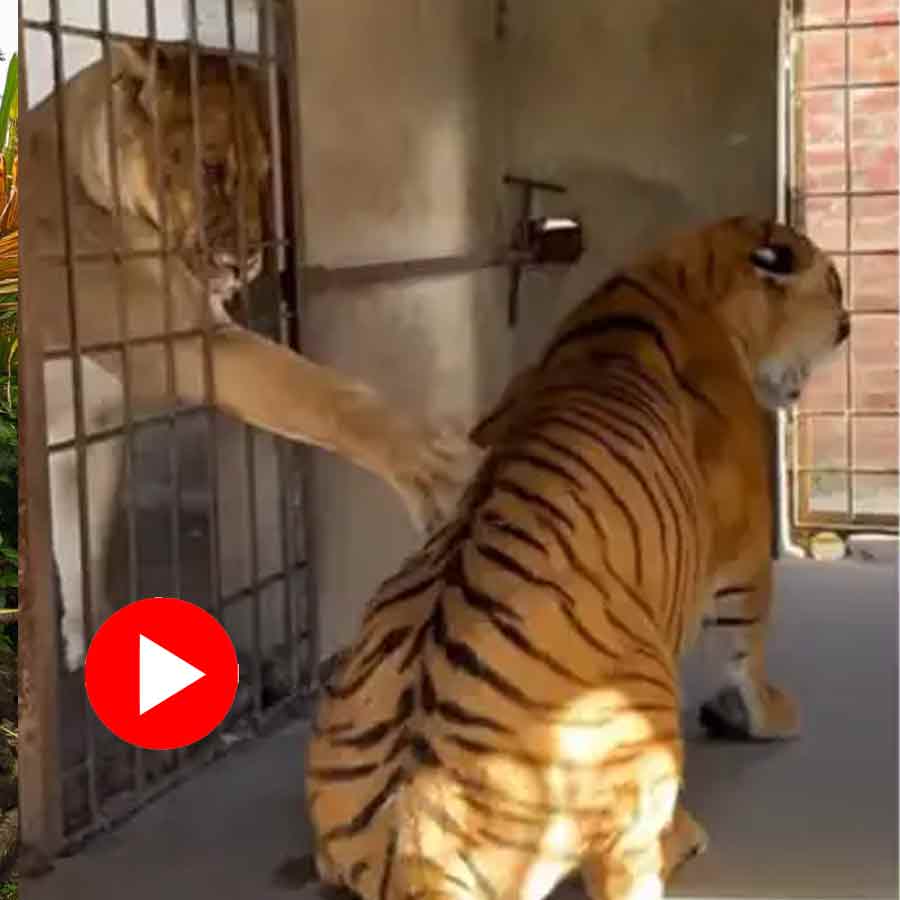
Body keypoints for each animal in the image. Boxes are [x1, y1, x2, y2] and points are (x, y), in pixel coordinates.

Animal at [304, 216, 849, 900]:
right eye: (832, 282)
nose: (848, 323)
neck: (680, 275)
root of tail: (417, 846)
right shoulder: (745, 545)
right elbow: (747, 645)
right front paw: (770, 713)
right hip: (638, 726)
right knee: (626, 863)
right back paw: (683, 834)